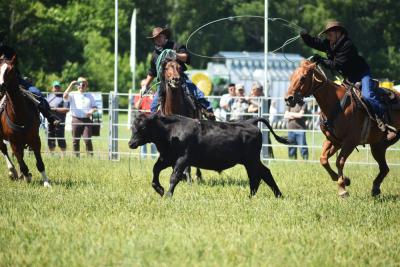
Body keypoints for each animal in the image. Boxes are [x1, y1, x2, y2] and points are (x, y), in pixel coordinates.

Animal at [0, 56, 51, 186]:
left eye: (10, 70)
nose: (0, 87)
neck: (19, 113)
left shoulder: (35, 139)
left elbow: (40, 163)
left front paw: (46, 183)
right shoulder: (13, 142)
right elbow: (22, 163)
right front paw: (27, 177)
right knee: (4, 149)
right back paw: (13, 172)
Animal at [286, 60, 398, 198]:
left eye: (302, 78)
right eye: (291, 77)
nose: (288, 98)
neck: (336, 103)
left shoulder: (350, 142)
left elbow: (339, 161)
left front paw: (342, 188)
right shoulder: (333, 140)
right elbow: (323, 159)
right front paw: (344, 180)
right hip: (378, 146)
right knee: (384, 168)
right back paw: (375, 188)